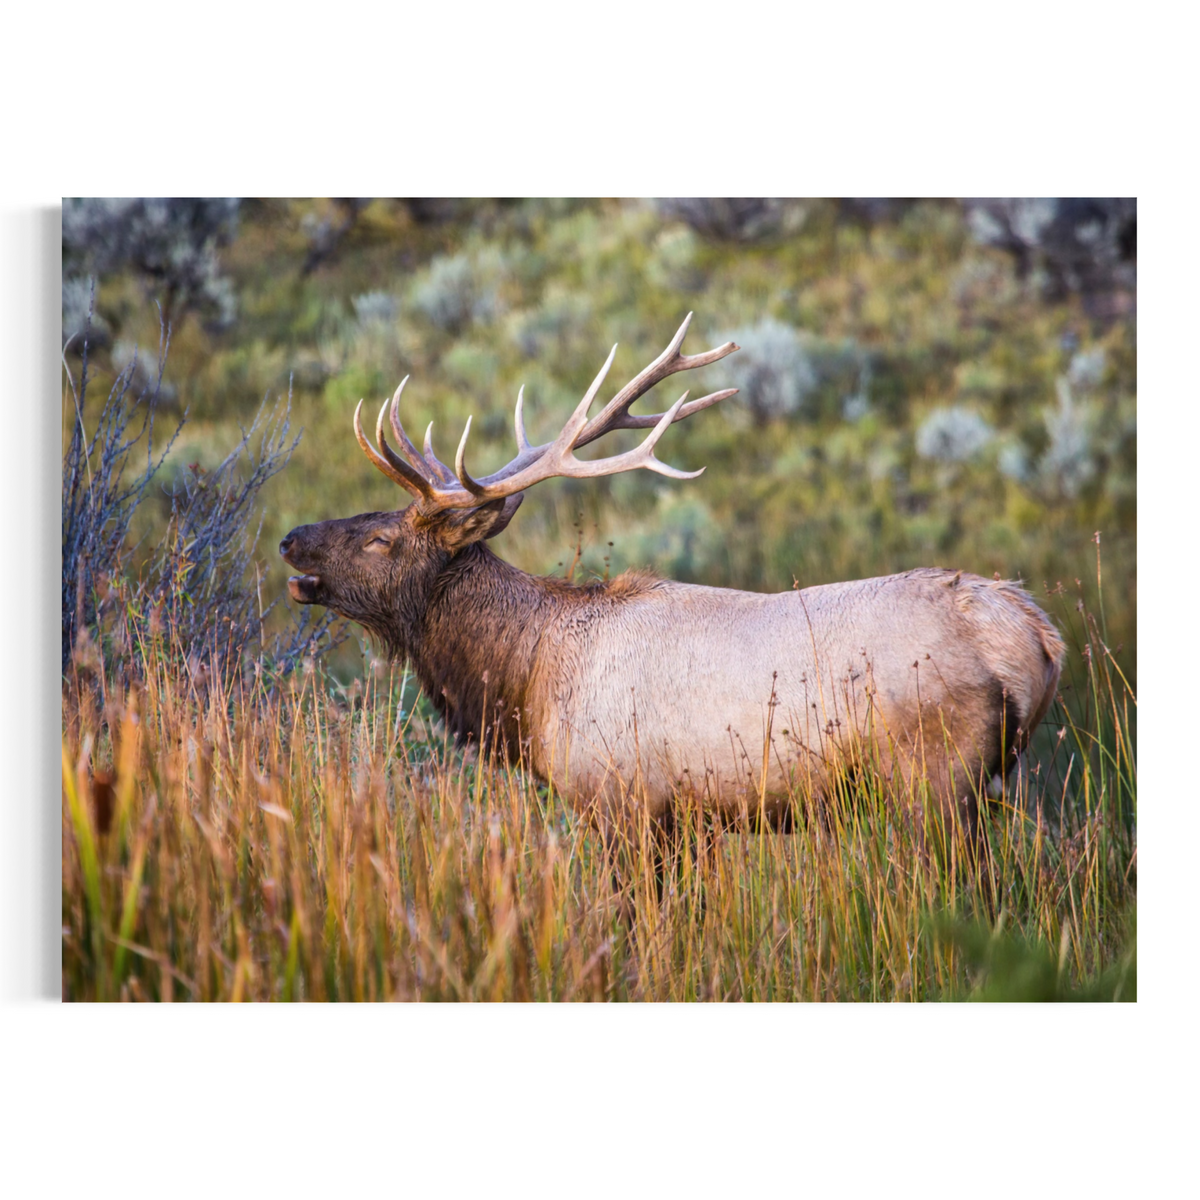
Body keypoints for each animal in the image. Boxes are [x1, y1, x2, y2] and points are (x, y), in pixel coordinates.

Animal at [280, 313, 1065, 897]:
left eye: (381, 538)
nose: (291, 540)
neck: (529, 682)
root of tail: (1032, 634)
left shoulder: (621, 801)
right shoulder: (686, 819)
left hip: (935, 780)